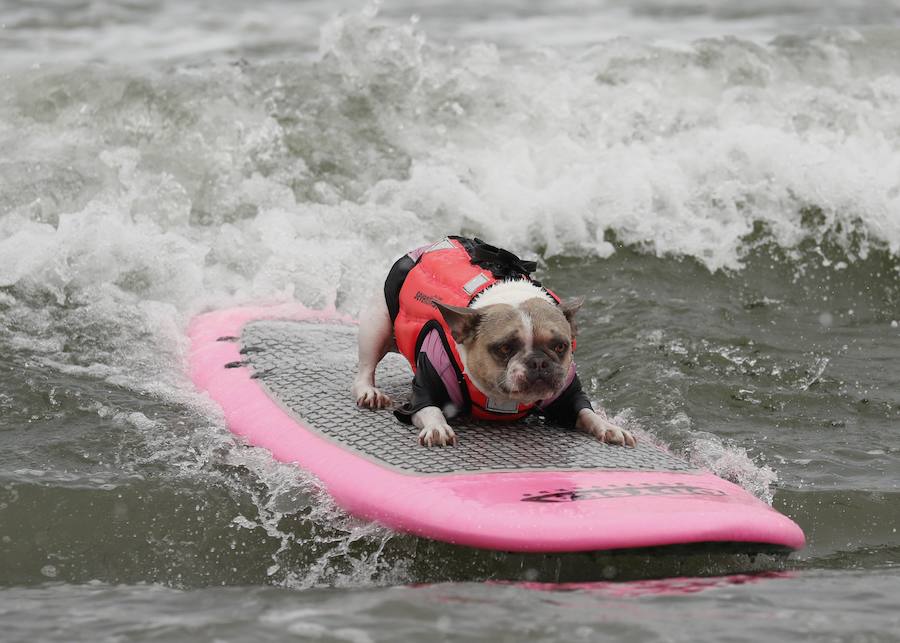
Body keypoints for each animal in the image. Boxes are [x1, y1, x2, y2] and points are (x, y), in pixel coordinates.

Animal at [348, 236, 636, 448]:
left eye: (560, 346)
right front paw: (438, 427)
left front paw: (609, 427)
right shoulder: (424, 390)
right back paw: (369, 392)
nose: (538, 363)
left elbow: (586, 412)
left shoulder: (568, 395)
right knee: (366, 365)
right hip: (377, 323)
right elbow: (430, 409)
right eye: (505, 348)